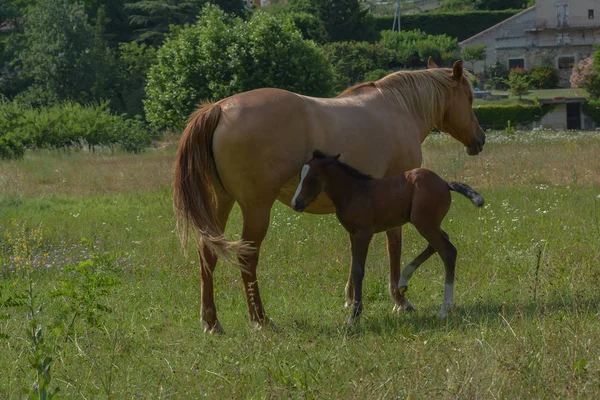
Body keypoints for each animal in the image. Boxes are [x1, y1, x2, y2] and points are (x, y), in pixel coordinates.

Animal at [292, 151, 486, 324]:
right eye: (300, 176)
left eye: (314, 176)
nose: (296, 203)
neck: (354, 191)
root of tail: (445, 183)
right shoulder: (352, 234)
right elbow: (354, 268)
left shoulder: (363, 233)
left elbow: (358, 271)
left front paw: (354, 315)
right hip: (429, 224)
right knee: (442, 242)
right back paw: (404, 281)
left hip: (423, 223)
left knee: (447, 251)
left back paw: (444, 309)